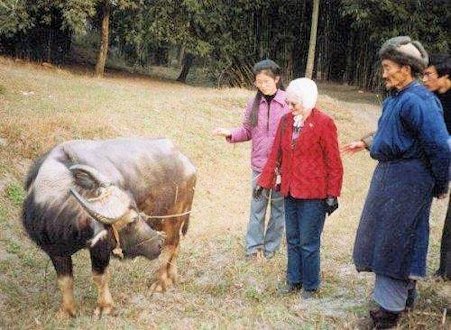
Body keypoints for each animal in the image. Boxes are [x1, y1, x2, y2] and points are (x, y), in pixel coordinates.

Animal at [22, 137, 196, 318]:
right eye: (132, 221)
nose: (157, 243)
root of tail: (186, 162)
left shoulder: (101, 248)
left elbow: (99, 276)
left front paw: (104, 307)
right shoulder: (55, 251)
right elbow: (65, 281)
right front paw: (67, 311)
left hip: (173, 219)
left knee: (170, 247)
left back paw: (160, 282)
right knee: (176, 245)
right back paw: (172, 276)